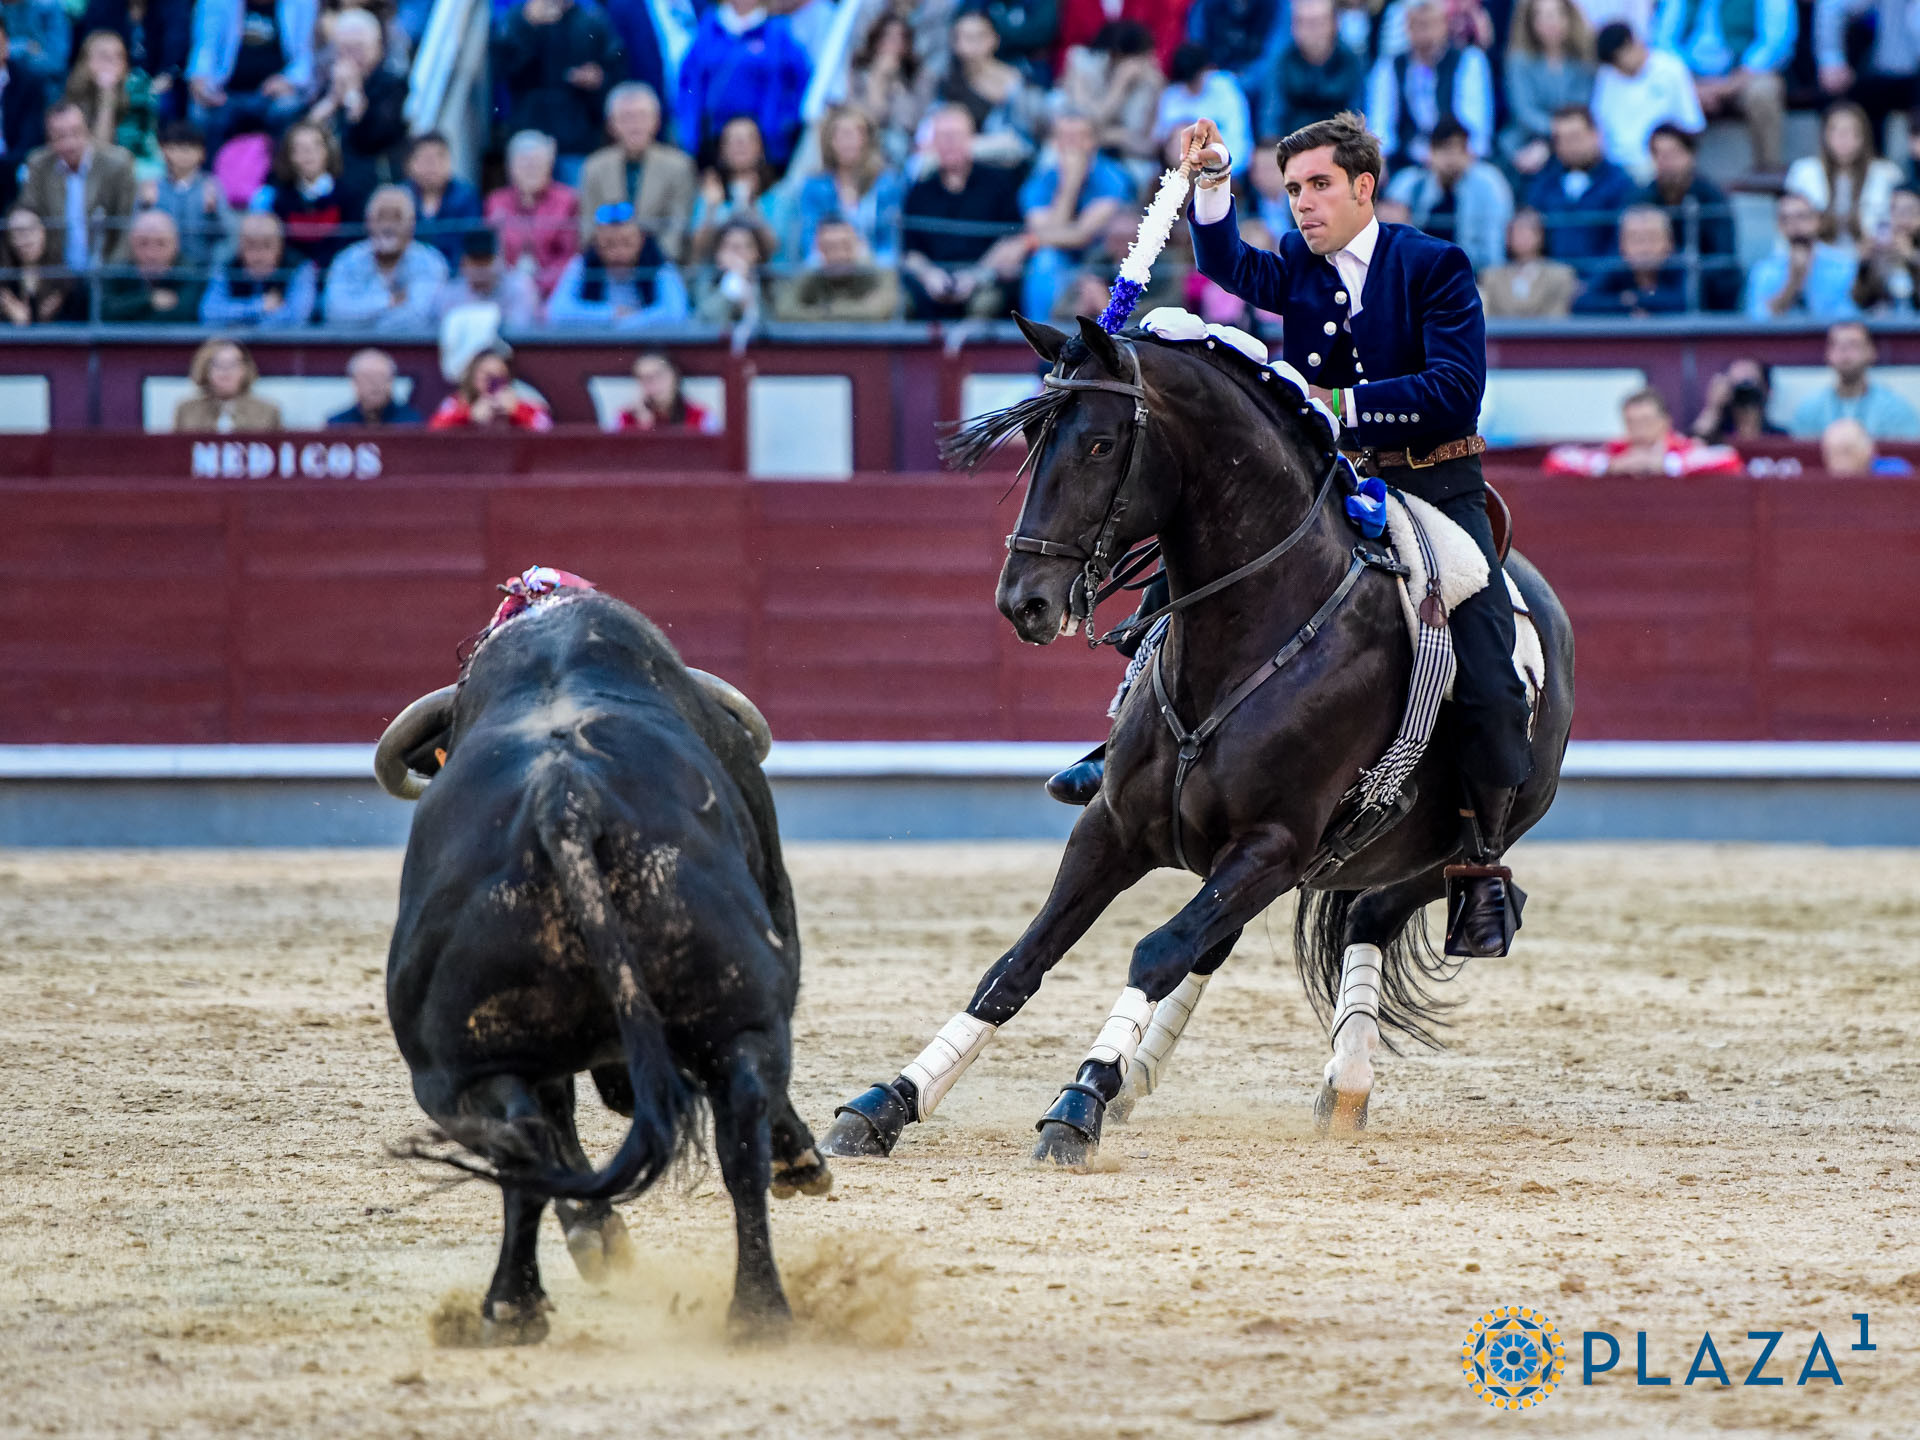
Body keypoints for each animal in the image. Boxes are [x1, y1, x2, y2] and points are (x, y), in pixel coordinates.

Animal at [819, 313, 1575, 1167]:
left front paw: (1077, 1101)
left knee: (1365, 919)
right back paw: (1141, 1075)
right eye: (1035, 440)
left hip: (1440, 850)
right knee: (1224, 943)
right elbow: (1019, 962)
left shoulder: (1274, 845)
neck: (1249, 636)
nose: (1025, 602)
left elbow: (1154, 950)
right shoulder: (1112, 827)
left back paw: (1340, 1082)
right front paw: (889, 1100)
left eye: (1100, 445)